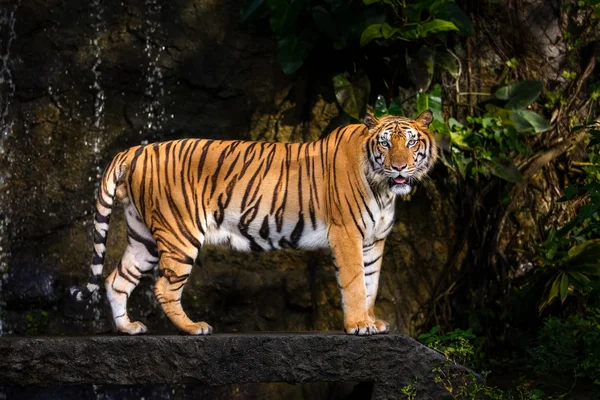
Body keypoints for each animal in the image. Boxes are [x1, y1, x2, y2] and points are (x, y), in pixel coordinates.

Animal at [71, 111, 436, 336]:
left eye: (411, 142)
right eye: (385, 143)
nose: (399, 167)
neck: (384, 189)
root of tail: (137, 150)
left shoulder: (374, 240)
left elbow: (372, 282)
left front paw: (372, 321)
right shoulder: (347, 235)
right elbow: (356, 283)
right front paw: (359, 324)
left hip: (143, 236)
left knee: (117, 279)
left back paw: (127, 328)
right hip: (179, 234)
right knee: (163, 287)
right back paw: (193, 328)